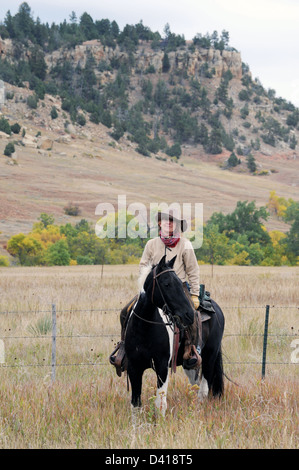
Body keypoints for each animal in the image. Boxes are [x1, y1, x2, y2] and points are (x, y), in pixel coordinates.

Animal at [124, 258, 225, 414]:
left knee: (203, 389)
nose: (189, 314)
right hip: (190, 364)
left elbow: (160, 404)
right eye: (167, 284)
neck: (143, 329)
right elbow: (135, 404)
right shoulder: (134, 367)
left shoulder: (162, 367)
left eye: (179, 283)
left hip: (210, 355)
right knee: (196, 385)